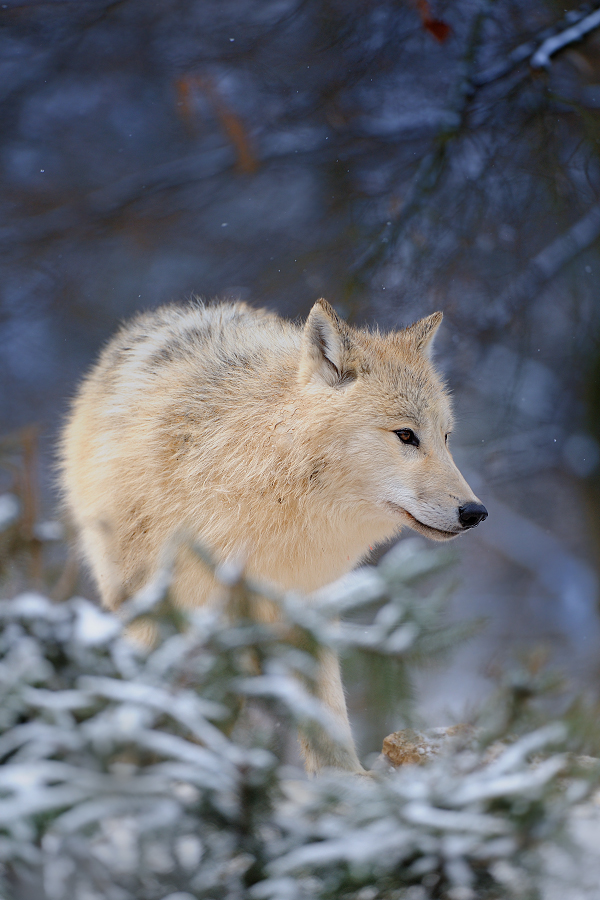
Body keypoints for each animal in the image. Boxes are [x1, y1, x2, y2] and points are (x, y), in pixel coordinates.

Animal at [59, 299, 487, 774]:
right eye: (406, 434)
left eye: (446, 437)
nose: (475, 512)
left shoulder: (310, 605)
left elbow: (326, 710)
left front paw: (344, 778)